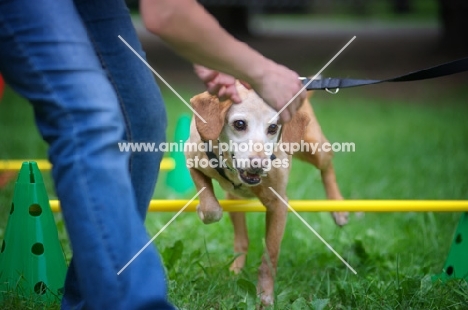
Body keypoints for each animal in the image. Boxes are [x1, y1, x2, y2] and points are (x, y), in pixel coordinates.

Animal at [185, 82, 346, 306]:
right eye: (239, 124)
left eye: (273, 128)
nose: (259, 164)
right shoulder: (192, 161)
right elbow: (211, 208)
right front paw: (202, 209)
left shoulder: (278, 204)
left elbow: (270, 256)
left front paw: (265, 296)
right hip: (233, 200)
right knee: (241, 239)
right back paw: (236, 270)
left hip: (314, 148)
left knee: (328, 162)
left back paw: (338, 208)